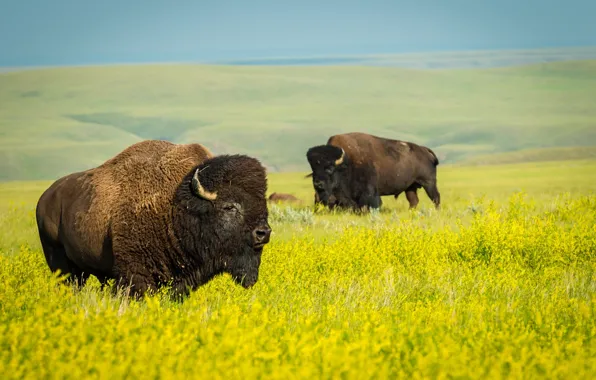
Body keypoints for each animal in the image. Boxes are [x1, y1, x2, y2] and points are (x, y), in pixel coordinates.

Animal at [35, 140, 272, 300]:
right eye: (229, 206)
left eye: (263, 203)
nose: (263, 233)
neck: (177, 207)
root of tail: (45, 198)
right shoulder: (135, 275)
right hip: (60, 263)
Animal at [308, 132, 438, 211]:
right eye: (313, 170)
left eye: (329, 168)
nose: (317, 183)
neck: (347, 162)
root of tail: (424, 149)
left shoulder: (369, 191)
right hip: (410, 187)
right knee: (413, 201)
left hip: (429, 183)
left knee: (435, 197)